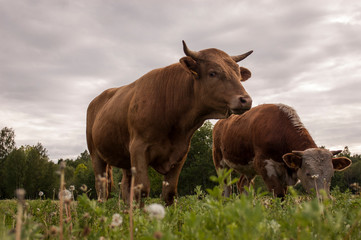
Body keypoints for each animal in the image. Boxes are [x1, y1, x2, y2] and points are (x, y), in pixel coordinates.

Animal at [86, 40, 252, 204]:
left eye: (238, 74)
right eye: (212, 73)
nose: (246, 100)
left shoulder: (180, 153)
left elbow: (169, 192)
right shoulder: (138, 148)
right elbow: (143, 188)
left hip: (125, 158)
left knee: (125, 186)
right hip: (95, 154)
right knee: (102, 188)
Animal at [212, 103, 350, 199]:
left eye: (331, 175)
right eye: (308, 174)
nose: (324, 199)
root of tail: (220, 123)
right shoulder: (264, 165)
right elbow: (279, 195)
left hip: (248, 168)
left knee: (243, 185)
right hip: (220, 162)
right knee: (225, 189)